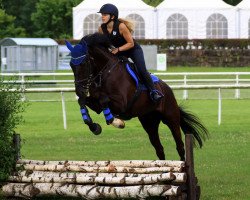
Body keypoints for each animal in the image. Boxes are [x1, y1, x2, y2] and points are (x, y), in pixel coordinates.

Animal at [65, 32, 208, 161]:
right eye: (71, 65)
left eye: (84, 63)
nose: (79, 90)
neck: (104, 72)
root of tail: (167, 89)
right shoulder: (95, 103)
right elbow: (83, 101)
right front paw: (94, 126)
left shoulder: (121, 104)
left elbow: (103, 100)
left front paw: (117, 122)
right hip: (149, 122)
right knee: (159, 148)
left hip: (171, 118)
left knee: (180, 146)